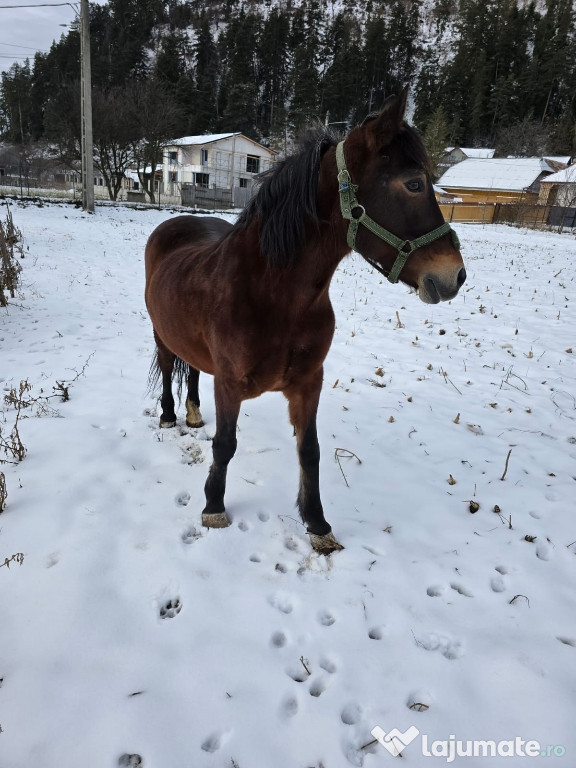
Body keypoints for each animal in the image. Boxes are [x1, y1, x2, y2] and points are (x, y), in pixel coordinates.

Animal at [146, 91, 466, 552]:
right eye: (414, 184)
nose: (454, 276)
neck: (273, 294)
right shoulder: (229, 383)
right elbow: (225, 445)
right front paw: (214, 507)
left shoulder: (308, 382)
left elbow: (309, 450)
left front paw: (317, 522)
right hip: (161, 334)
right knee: (171, 365)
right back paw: (171, 416)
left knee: (191, 370)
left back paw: (191, 414)